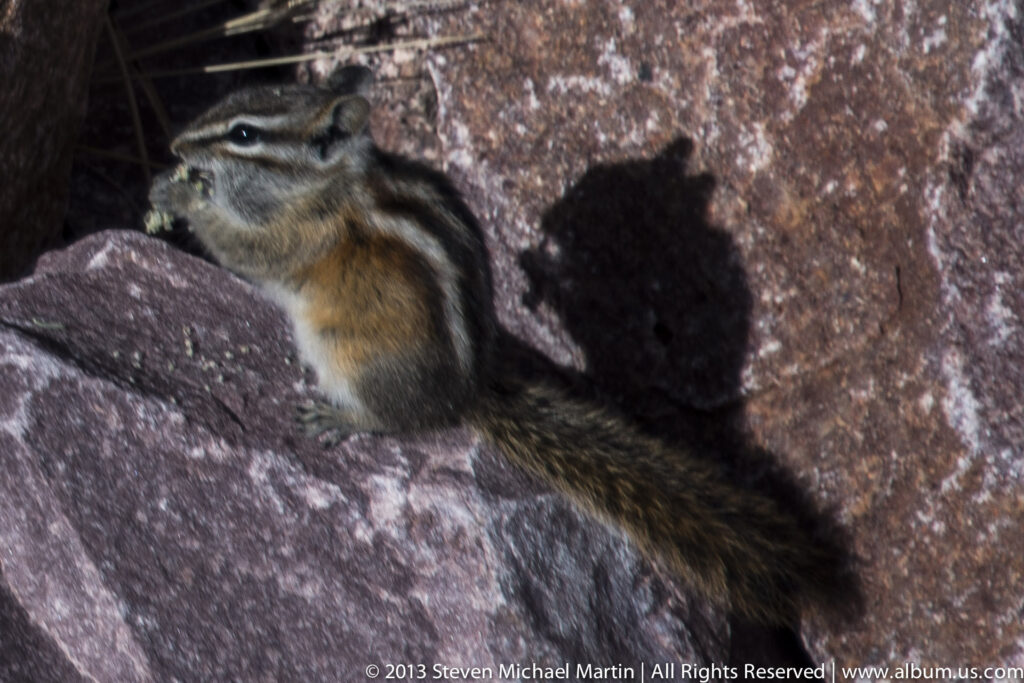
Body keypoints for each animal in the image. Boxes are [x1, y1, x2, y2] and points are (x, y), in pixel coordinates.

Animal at [147, 66, 844, 624]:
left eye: (244, 134)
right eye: (232, 97)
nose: (175, 144)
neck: (327, 185)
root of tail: (468, 395)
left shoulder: (294, 238)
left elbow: (242, 250)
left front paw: (176, 193)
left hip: (350, 357)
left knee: (400, 420)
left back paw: (343, 417)